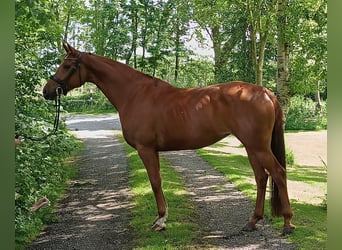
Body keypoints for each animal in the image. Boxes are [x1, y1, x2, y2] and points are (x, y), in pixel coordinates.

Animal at [42, 42, 296, 234]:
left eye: (67, 65)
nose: (46, 91)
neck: (134, 94)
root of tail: (265, 92)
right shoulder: (151, 150)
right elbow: (157, 181)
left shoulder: (145, 148)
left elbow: (155, 181)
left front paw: (161, 220)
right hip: (252, 147)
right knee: (261, 178)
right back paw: (253, 221)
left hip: (258, 146)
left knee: (278, 173)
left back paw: (287, 223)